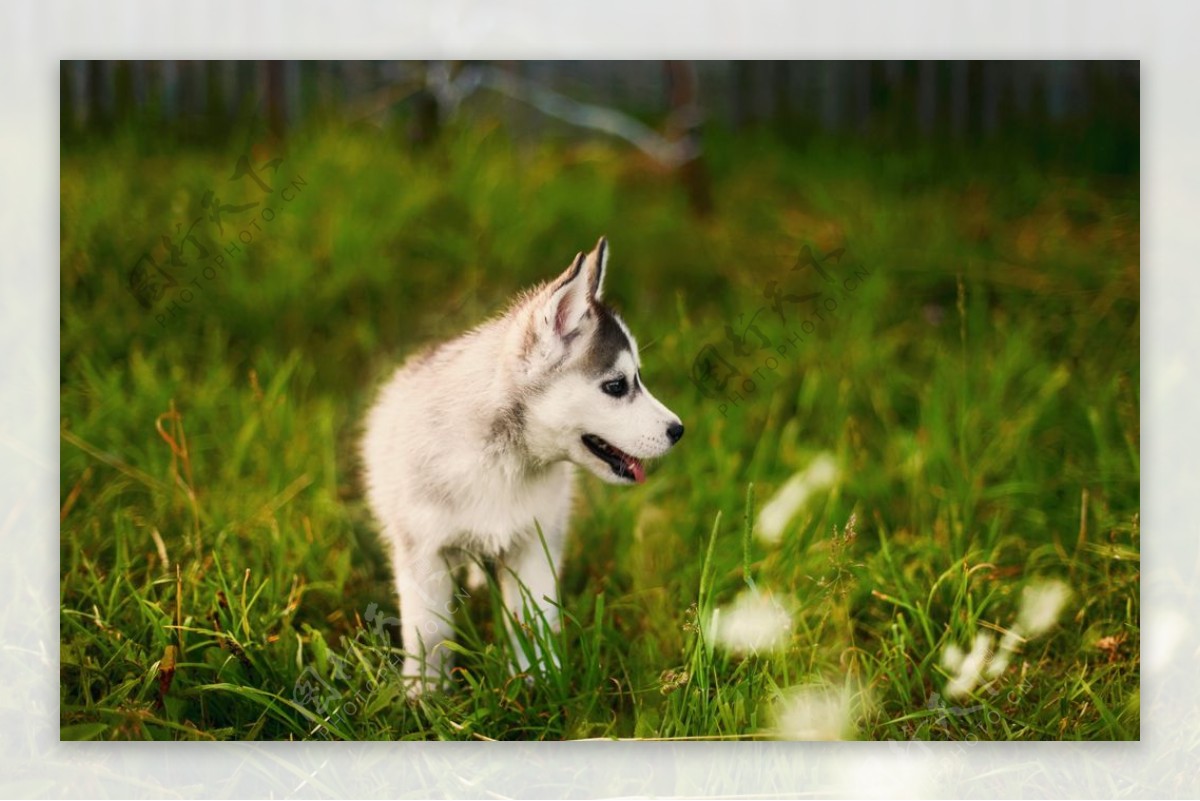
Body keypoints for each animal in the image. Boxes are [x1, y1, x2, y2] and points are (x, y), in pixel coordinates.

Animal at [357, 235, 686, 690]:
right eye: (617, 386)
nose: (678, 430)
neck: (502, 461)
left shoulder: (535, 542)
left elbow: (533, 622)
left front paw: (541, 682)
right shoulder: (423, 552)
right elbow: (430, 631)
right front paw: (426, 692)